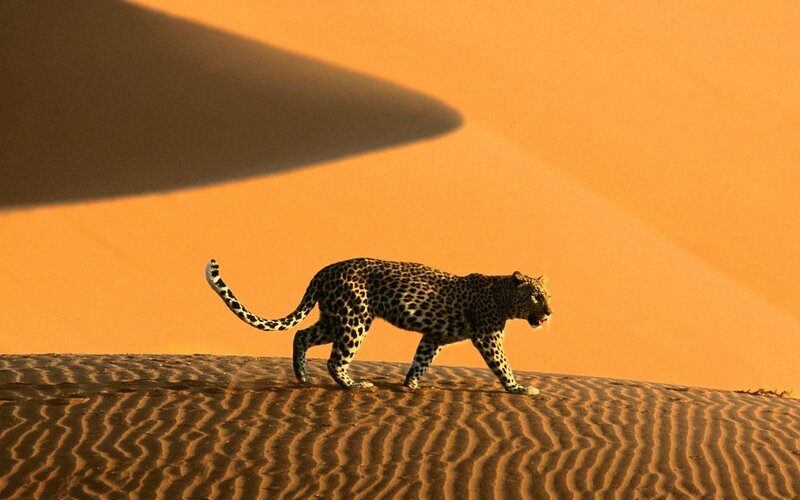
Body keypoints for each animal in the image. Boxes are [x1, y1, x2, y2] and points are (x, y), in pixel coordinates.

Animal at [205, 257, 552, 395]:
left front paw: (411, 384)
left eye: (548, 295)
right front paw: (519, 388)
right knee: (335, 360)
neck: (504, 297)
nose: (549, 313)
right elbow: (502, 364)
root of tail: (323, 270)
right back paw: (355, 385)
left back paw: (302, 377)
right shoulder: (488, 336)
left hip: (334, 318)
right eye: (536, 296)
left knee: (301, 335)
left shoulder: (434, 336)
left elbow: (421, 360)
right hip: (354, 320)